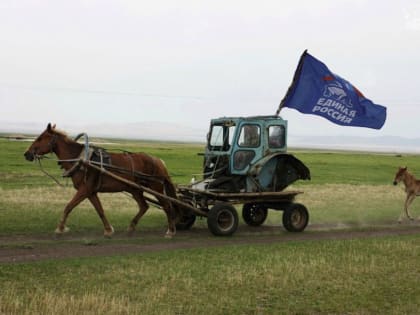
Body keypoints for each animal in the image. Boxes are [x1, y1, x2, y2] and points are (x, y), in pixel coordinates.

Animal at [23, 123, 180, 237]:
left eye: (40, 138)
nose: (27, 154)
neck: (81, 159)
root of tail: (158, 160)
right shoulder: (91, 192)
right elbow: (100, 210)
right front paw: (108, 230)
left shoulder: (84, 189)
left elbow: (68, 207)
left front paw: (60, 228)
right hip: (134, 189)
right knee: (144, 206)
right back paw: (131, 227)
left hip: (155, 186)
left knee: (167, 205)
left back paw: (171, 231)